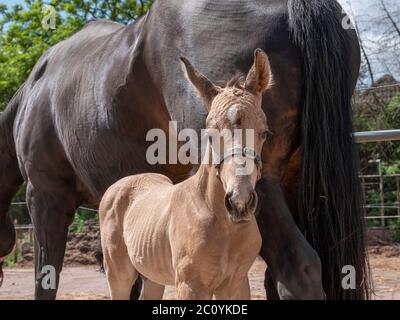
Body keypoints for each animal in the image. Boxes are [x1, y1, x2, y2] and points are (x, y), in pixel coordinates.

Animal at [99, 48, 274, 298]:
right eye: (210, 132)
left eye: (265, 133)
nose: (239, 202)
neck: (224, 226)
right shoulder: (190, 285)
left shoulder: (237, 284)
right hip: (118, 273)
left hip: (153, 274)